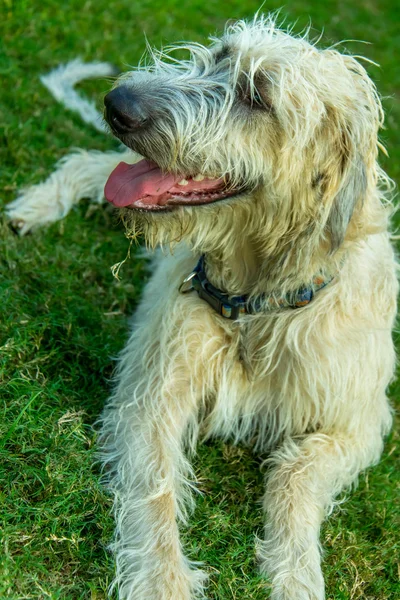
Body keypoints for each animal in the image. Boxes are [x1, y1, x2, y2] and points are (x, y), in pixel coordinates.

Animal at [6, 12, 396, 600]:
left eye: (257, 94)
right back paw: (34, 206)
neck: (260, 304)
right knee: (92, 164)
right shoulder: (153, 395)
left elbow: (297, 475)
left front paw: (295, 571)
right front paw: (163, 581)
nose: (118, 101)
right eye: (218, 56)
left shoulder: (358, 424)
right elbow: (156, 487)